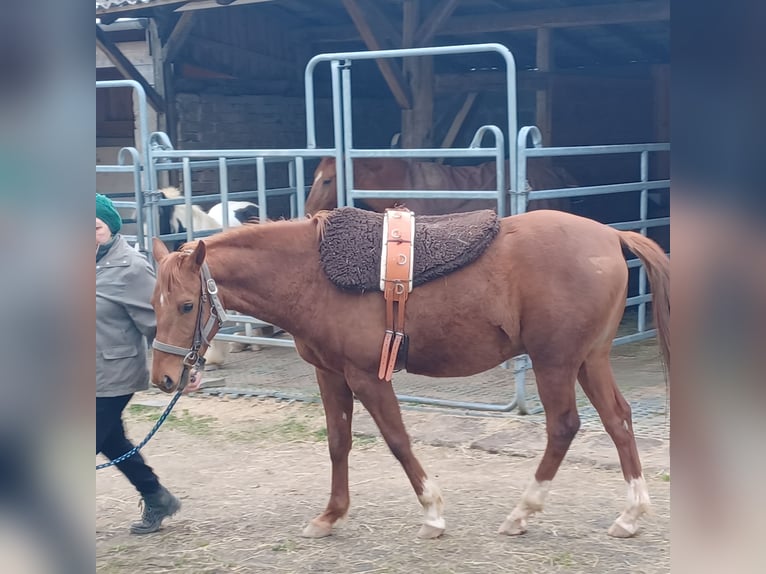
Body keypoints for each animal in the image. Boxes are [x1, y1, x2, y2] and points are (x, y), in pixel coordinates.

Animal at [150, 209, 672, 544]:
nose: (164, 377)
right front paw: (330, 515)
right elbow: (338, 442)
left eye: (187, 305)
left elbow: (398, 440)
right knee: (618, 420)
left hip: (555, 363)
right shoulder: (330, 375)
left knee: (564, 427)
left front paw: (433, 513)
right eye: (154, 303)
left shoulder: (368, 377)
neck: (313, 275)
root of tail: (609, 235)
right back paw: (630, 515)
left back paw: (523, 512)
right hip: (589, 360)